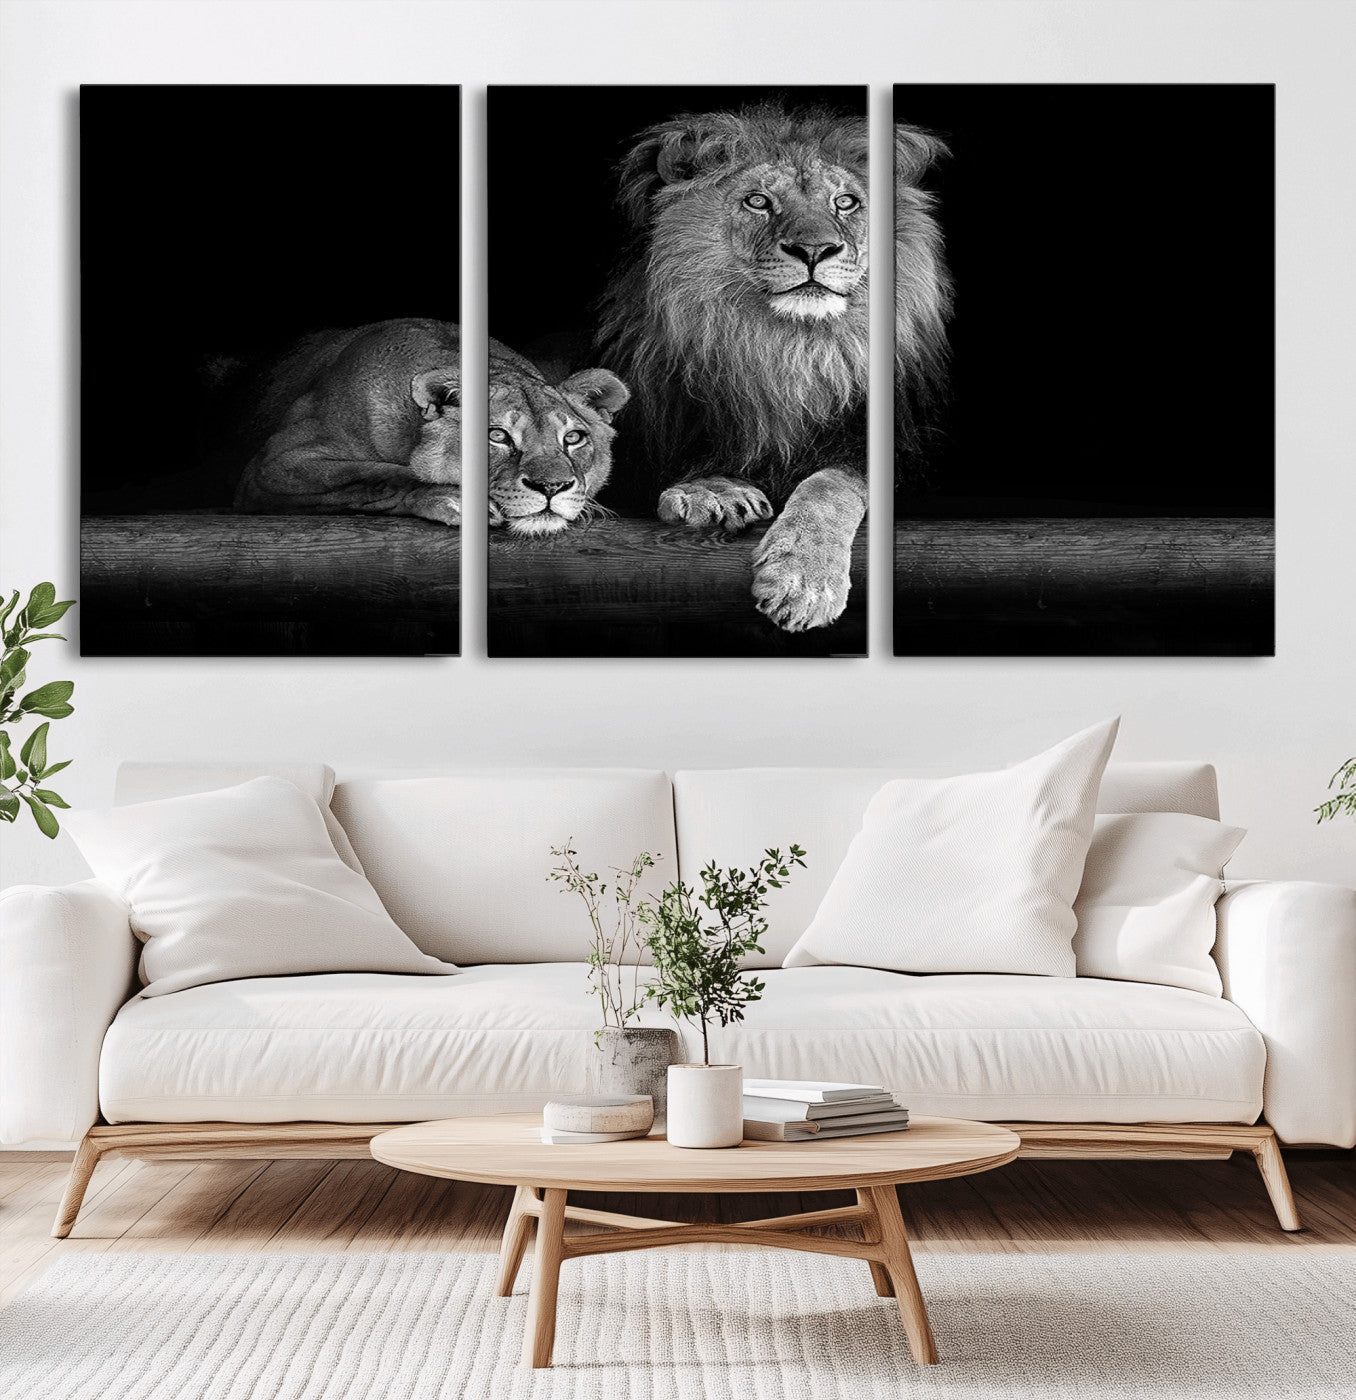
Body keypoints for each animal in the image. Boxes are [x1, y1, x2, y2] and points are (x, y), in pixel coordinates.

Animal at [235, 319, 629, 535]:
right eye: (497, 436)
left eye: (573, 438)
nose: (552, 487)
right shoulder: (275, 463)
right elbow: (382, 475)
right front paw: (452, 498)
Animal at [596, 104, 952, 631]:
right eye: (758, 201)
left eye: (846, 202)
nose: (815, 250)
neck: (786, 350)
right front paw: (713, 490)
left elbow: (831, 484)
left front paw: (803, 579)